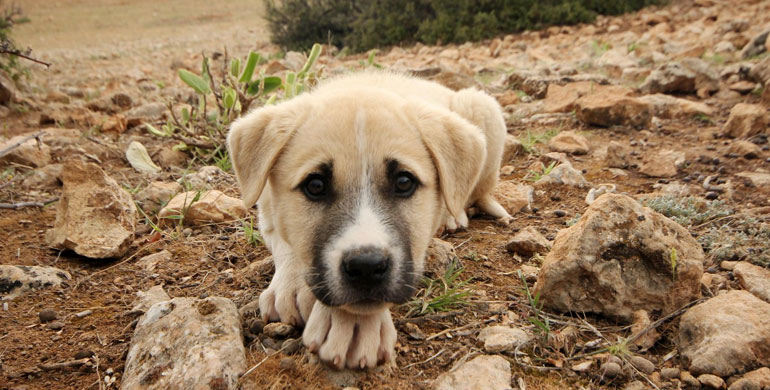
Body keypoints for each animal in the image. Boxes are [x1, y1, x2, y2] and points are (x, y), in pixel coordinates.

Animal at [226, 71, 510, 368]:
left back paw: (455, 215)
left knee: (477, 190)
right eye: (315, 186)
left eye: (404, 182)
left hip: (484, 111)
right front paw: (292, 287)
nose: (366, 267)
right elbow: (287, 242)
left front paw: (352, 325)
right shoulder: (266, 208)